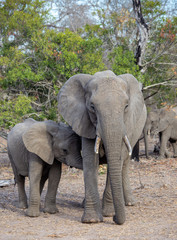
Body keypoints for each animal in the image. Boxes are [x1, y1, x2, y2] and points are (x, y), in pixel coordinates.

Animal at [57, 70, 147, 224]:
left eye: (126, 106)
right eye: (92, 107)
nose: (116, 218)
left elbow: (117, 160)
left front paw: (109, 214)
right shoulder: (85, 121)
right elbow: (90, 161)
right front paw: (92, 220)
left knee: (125, 164)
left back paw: (129, 203)